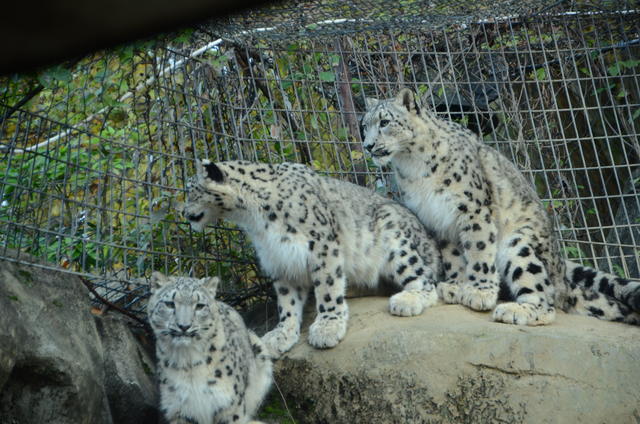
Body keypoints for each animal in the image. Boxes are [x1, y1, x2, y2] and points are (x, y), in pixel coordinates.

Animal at [148, 274, 272, 422]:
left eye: (199, 306)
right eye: (170, 304)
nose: (184, 326)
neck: (188, 361)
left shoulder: (230, 405)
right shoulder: (180, 409)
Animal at [179, 159, 440, 354]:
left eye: (191, 190)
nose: (182, 212)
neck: (254, 220)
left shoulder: (321, 245)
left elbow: (327, 286)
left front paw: (327, 327)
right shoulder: (280, 258)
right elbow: (287, 301)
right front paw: (281, 334)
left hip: (396, 240)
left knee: (428, 281)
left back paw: (407, 301)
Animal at [360, 87, 640, 324]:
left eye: (384, 122)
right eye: (365, 126)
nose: (368, 145)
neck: (412, 166)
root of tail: (563, 278)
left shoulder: (472, 208)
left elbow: (478, 249)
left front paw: (479, 291)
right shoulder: (437, 219)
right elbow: (453, 255)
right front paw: (455, 285)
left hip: (519, 243)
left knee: (545, 299)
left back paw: (515, 310)